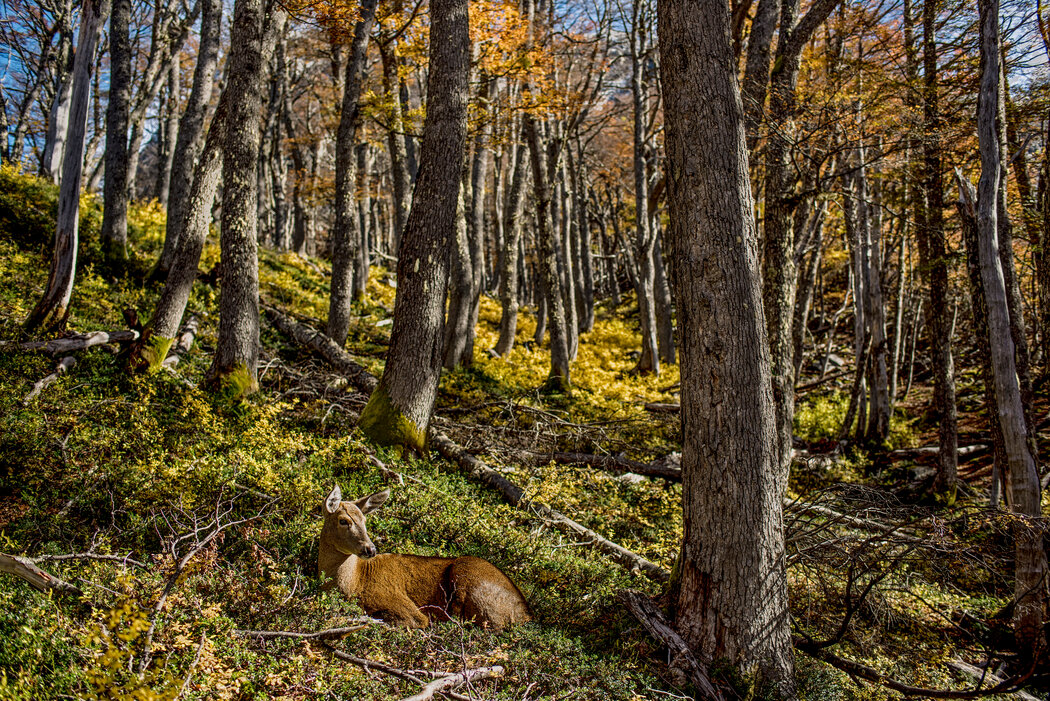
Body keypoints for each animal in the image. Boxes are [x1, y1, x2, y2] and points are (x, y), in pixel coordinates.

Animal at [317, 486, 533, 629]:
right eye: (343, 521)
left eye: (364, 520)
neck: (355, 582)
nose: (370, 549)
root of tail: (525, 613)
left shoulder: (398, 602)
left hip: (469, 578)